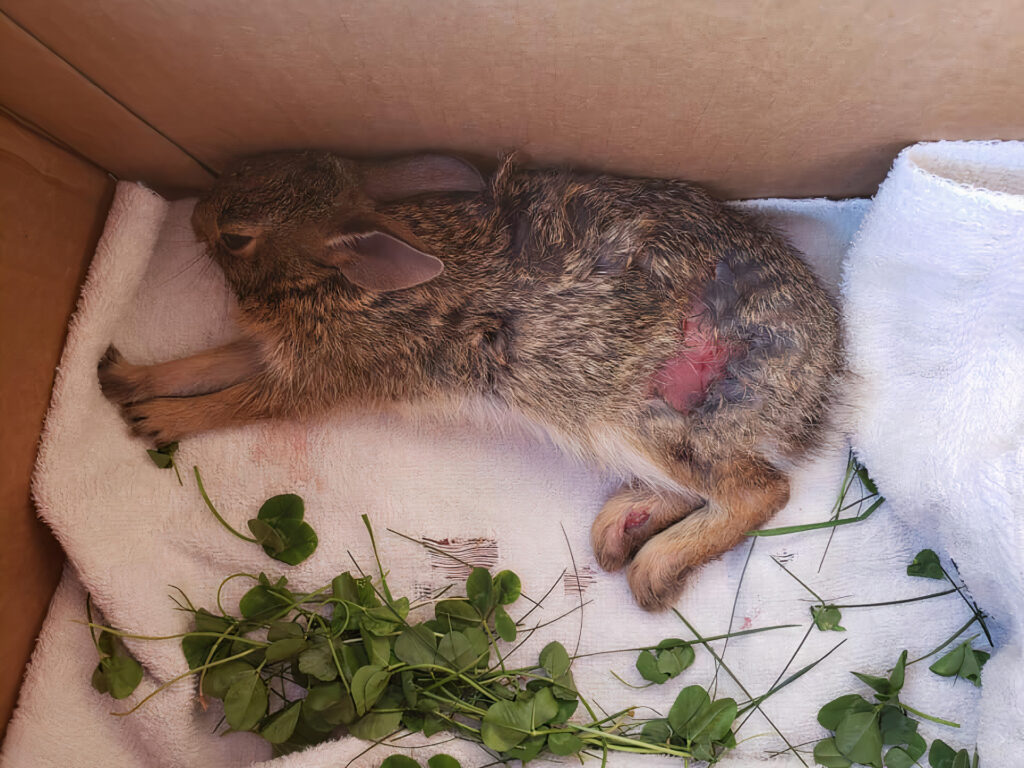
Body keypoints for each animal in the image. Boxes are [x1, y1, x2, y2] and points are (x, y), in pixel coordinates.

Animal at [98, 151, 843, 610]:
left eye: (236, 237)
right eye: (257, 166)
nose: (196, 215)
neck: (331, 280)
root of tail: (821, 373)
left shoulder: (317, 377)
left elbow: (234, 401)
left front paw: (156, 420)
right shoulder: (277, 351)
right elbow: (206, 363)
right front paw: (123, 377)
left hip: (640, 411)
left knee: (759, 489)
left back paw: (654, 567)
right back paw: (623, 526)